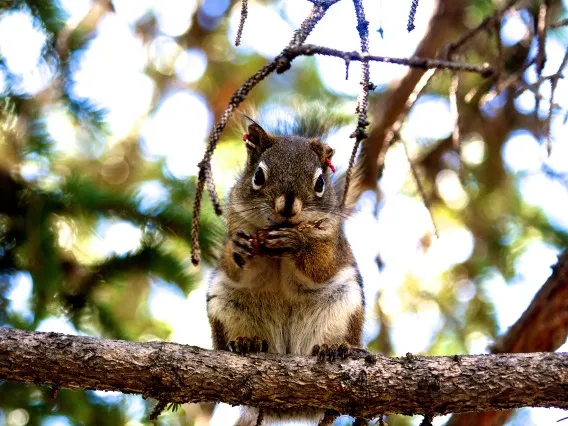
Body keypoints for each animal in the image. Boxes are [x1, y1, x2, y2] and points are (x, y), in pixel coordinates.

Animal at [207, 110, 364, 426]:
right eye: (258, 176)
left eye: (320, 183)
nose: (288, 207)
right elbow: (239, 269)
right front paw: (237, 248)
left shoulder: (332, 240)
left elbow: (320, 266)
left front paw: (297, 242)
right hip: (224, 307)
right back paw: (246, 342)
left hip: (343, 306)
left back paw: (334, 348)